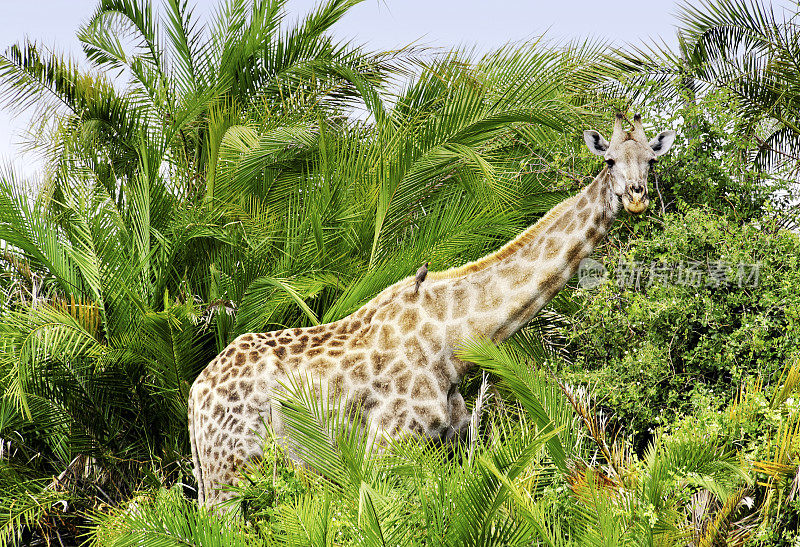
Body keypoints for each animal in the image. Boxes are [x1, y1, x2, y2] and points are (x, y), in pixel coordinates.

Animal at [188, 114, 676, 510]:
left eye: (651, 161)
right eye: (609, 161)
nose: (636, 198)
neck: (452, 341)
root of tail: (195, 395)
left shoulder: (451, 441)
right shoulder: (389, 443)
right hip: (231, 470)